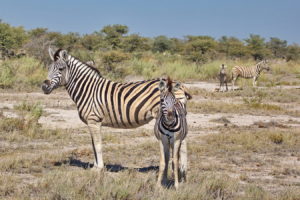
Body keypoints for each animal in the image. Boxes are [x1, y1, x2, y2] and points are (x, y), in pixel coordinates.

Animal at [41, 47, 192, 170]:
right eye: (48, 68)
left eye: (60, 69)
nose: (44, 87)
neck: (89, 90)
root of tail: (179, 84)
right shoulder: (92, 122)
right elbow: (93, 145)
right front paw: (94, 166)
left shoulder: (94, 120)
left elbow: (98, 145)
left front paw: (99, 168)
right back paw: (181, 168)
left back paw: (178, 168)